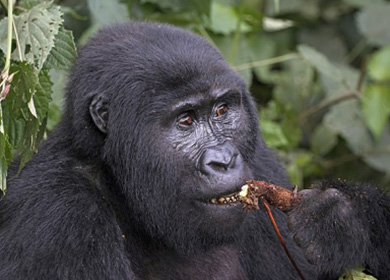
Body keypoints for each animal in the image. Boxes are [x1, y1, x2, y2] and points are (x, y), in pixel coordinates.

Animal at [0, 20, 390, 278]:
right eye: (185, 120)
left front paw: (344, 219)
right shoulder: (60, 211)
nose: (224, 160)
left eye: (221, 111)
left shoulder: (261, 160)